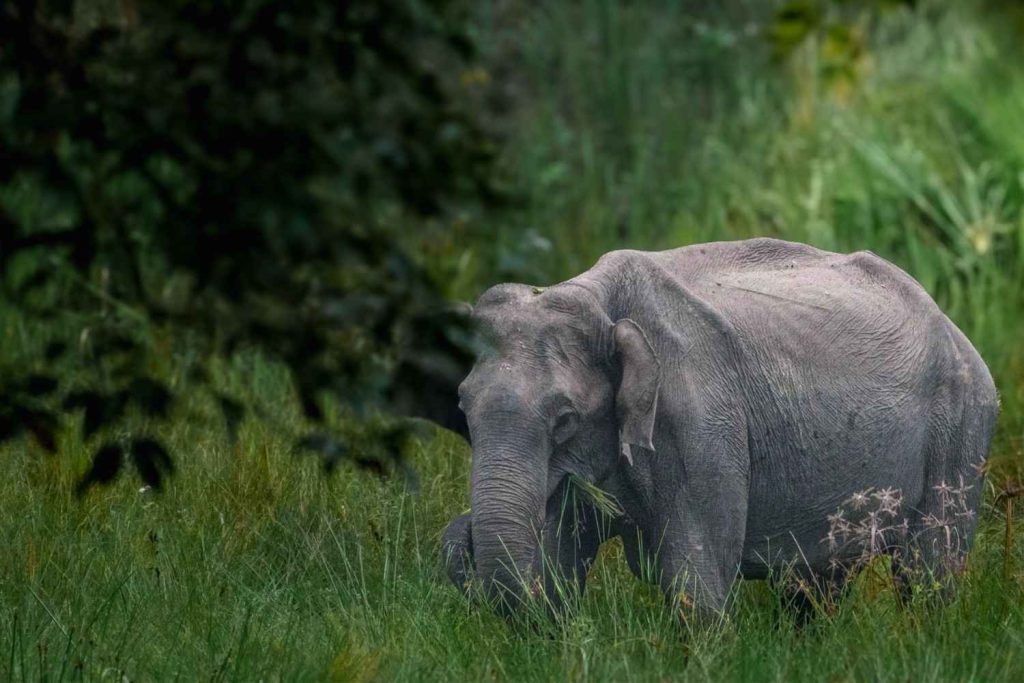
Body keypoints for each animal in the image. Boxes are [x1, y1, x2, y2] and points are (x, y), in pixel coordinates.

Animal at [439, 238, 998, 621]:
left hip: (962, 427)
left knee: (929, 573)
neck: (593, 295)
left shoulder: (702, 426)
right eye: (463, 408)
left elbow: (696, 578)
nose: (459, 533)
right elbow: (561, 565)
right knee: (813, 589)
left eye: (565, 419)